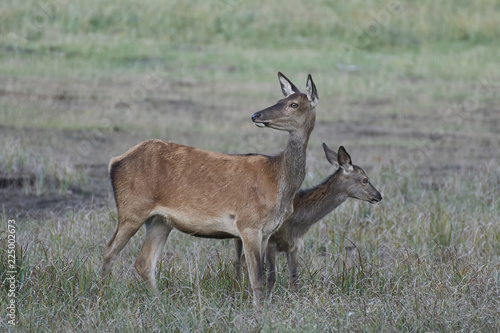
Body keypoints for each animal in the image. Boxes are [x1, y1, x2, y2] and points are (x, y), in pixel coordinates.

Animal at [101, 72, 318, 304]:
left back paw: (160, 301)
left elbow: (266, 275)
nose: (256, 115)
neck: (278, 184)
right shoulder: (248, 224)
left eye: (293, 104)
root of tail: (114, 161)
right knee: (109, 250)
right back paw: (102, 293)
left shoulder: (267, 231)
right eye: (280, 100)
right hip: (131, 209)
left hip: (160, 220)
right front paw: (258, 309)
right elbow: (257, 277)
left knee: (144, 261)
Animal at [234, 143, 382, 294]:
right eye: (365, 180)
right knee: (242, 261)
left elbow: (294, 279)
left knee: (238, 261)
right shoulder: (271, 240)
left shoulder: (296, 245)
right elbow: (271, 278)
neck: (297, 223)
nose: (378, 195)